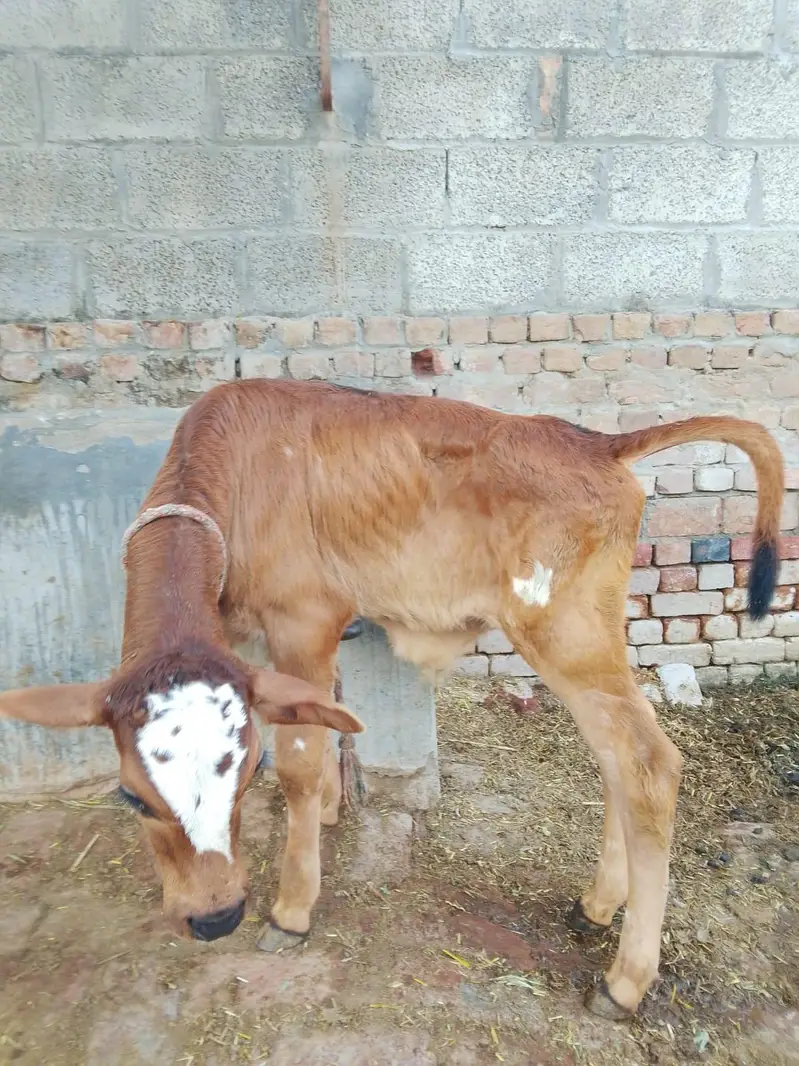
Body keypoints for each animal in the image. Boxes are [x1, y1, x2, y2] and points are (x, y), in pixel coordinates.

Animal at [0, 379, 783, 1019]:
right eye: (132, 798)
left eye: (244, 777)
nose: (214, 918)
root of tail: (594, 440)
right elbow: (316, 721)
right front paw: (330, 811)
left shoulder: (304, 618)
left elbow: (299, 758)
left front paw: (292, 908)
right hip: (591, 638)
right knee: (616, 758)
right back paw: (596, 906)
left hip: (563, 633)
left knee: (647, 763)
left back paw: (624, 982)